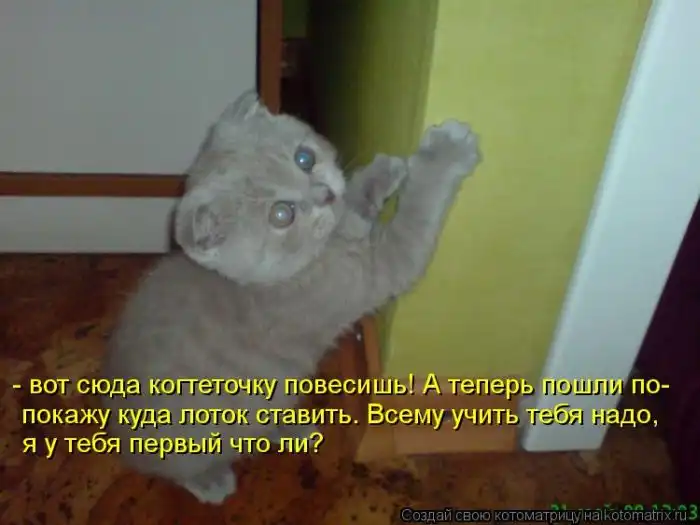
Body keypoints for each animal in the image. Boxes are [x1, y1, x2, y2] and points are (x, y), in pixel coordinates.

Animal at [100, 91, 482, 505]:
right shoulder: (375, 269)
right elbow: (415, 218)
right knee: (175, 467)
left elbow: (353, 210)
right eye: (282, 214)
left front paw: (378, 174)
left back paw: (294, 429)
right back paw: (211, 479)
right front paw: (445, 152)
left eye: (305, 158)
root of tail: (116, 436)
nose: (325, 195)